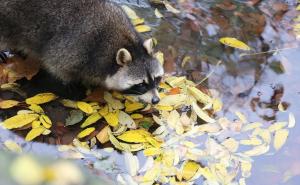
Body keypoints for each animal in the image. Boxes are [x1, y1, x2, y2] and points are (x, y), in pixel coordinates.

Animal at [0, 0, 164, 104]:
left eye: (156, 79)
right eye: (141, 84)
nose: (156, 100)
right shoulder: (73, 48)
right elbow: (58, 69)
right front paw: (72, 86)